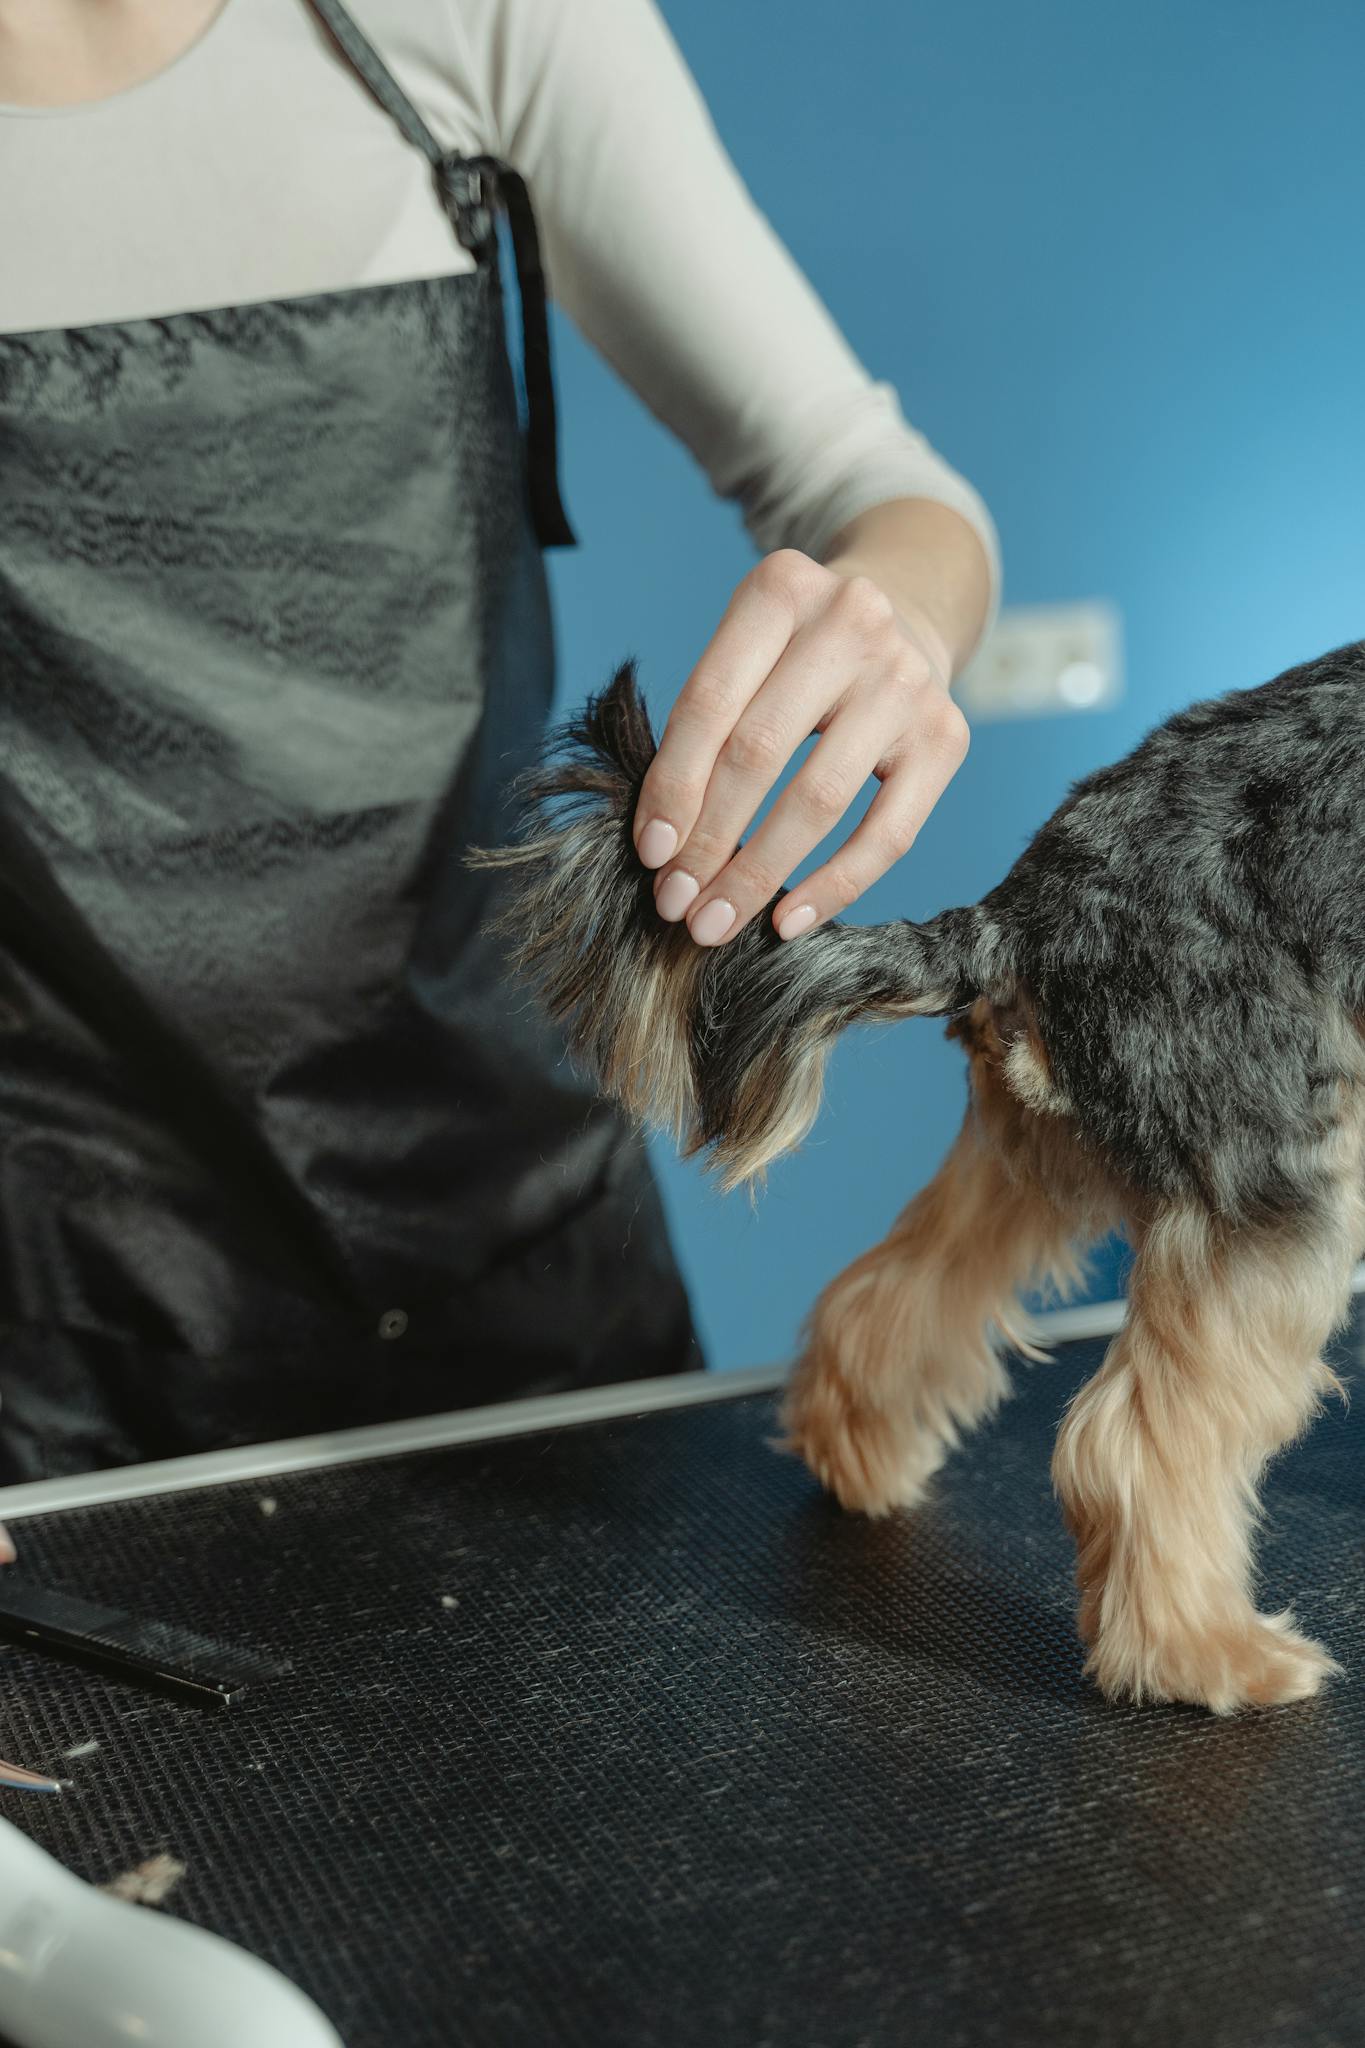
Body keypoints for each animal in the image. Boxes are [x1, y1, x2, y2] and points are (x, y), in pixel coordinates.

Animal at [474, 638, 1365, 1712]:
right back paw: (1200, 1652)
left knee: (895, 1294)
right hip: (1268, 1159)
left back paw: (856, 1457)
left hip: (1036, 1149)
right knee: (1137, 1442)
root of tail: (1016, 915)